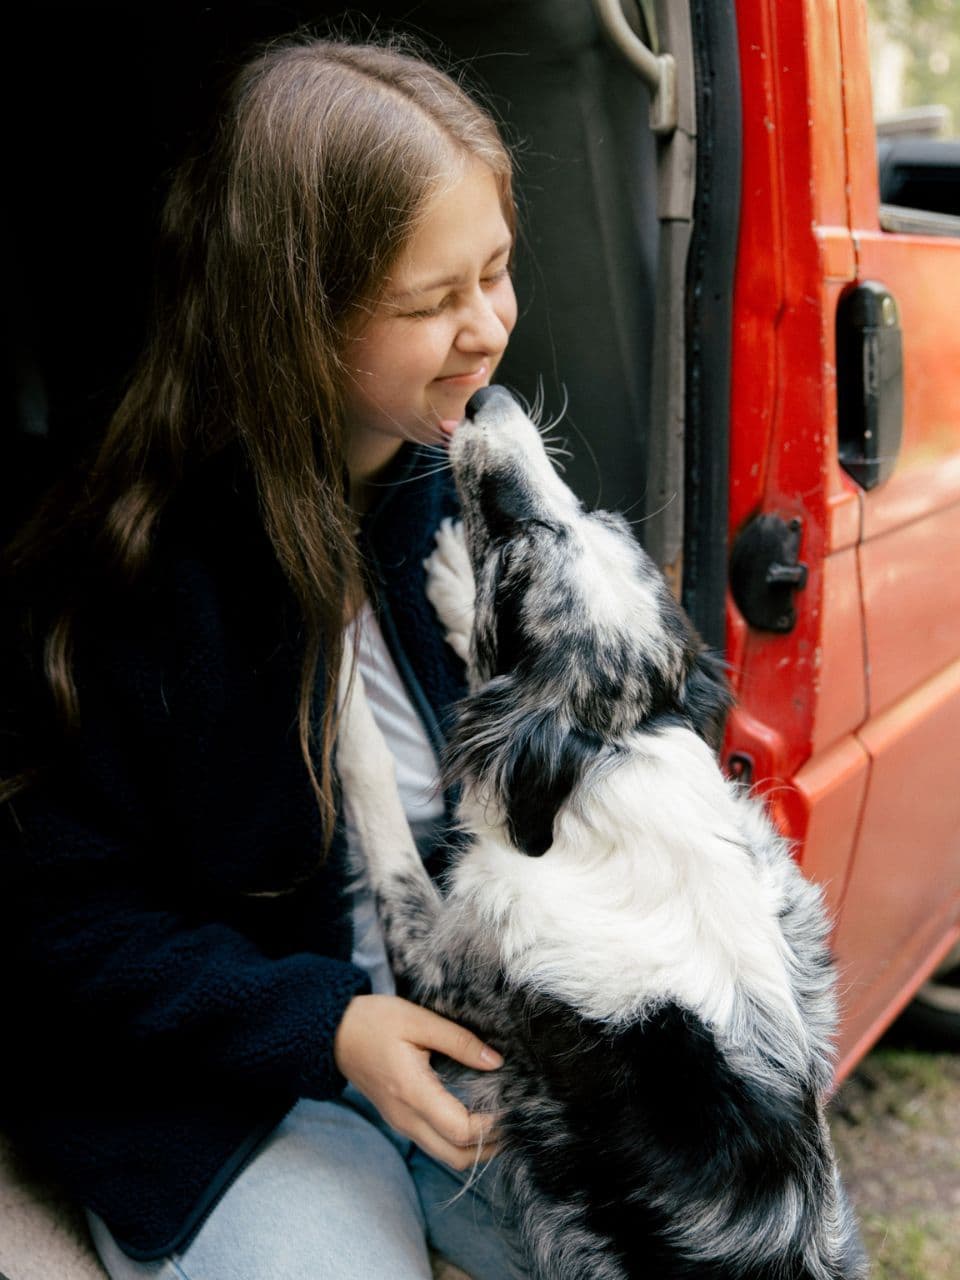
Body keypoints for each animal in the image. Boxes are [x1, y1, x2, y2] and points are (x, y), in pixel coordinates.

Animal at [335, 384, 866, 1279]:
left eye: (519, 550)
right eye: (596, 515)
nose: (487, 397)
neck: (615, 755)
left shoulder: (448, 972)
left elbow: (383, 814)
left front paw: (337, 695)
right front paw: (448, 583)